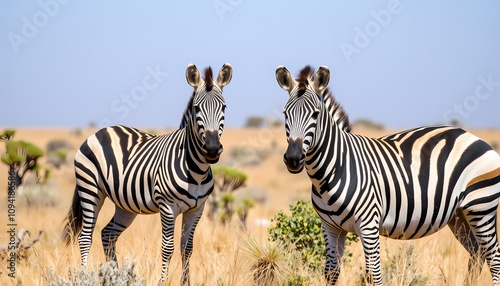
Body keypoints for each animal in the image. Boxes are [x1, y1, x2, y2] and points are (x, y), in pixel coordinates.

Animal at [62, 63, 232, 284]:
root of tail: (100, 131)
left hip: (124, 204)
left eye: (224, 107)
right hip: (90, 189)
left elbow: (187, 248)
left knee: (107, 234)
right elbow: (168, 248)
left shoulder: (197, 209)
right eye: (196, 108)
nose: (212, 149)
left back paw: (115, 275)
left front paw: (185, 282)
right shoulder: (167, 207)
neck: (196, 171)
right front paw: (163, 281)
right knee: (85, 237)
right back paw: (85, 277)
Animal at [276, 65, 500, 286]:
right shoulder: (330, 227)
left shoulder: (368, 225)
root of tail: (473, 137)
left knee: (494, 258)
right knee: (477, 252)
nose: (293, 159)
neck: (331, 172)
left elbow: (374, 274)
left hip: (480, 208)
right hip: (459, 215)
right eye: (285, 114)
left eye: (315, 115)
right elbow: (331, 273)